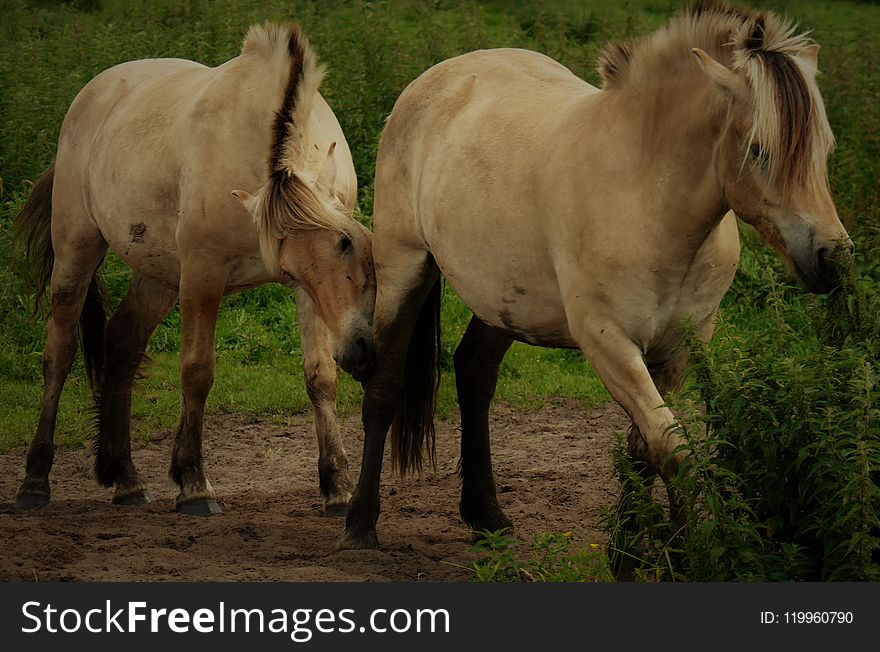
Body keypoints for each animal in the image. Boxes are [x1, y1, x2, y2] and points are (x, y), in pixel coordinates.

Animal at [12, 22, 374, 516]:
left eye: (348, 242)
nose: (359, 349)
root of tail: (92, 95)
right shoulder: (203, 276)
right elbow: (197, 372)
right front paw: (194, 484)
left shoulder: (306, 293)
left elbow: (320, 375)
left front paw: (336, 487)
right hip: (77, 251)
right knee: (59, 353)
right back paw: (35, 481)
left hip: (158, 275)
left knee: (122, 342)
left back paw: (126, 479)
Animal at [338, 3, 852, 552]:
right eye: (759, 150)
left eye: (825, 148)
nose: (832, 257)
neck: (646, 196)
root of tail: (436, 78)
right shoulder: (609, 342)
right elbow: (672, 452)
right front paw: (686, 552)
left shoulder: (680, 348)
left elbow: (645, 449)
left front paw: (630, 550)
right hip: (405, 269)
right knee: (385, 388)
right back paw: (360, 523)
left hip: (503, 301)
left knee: (474, 374)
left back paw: (486, 514)